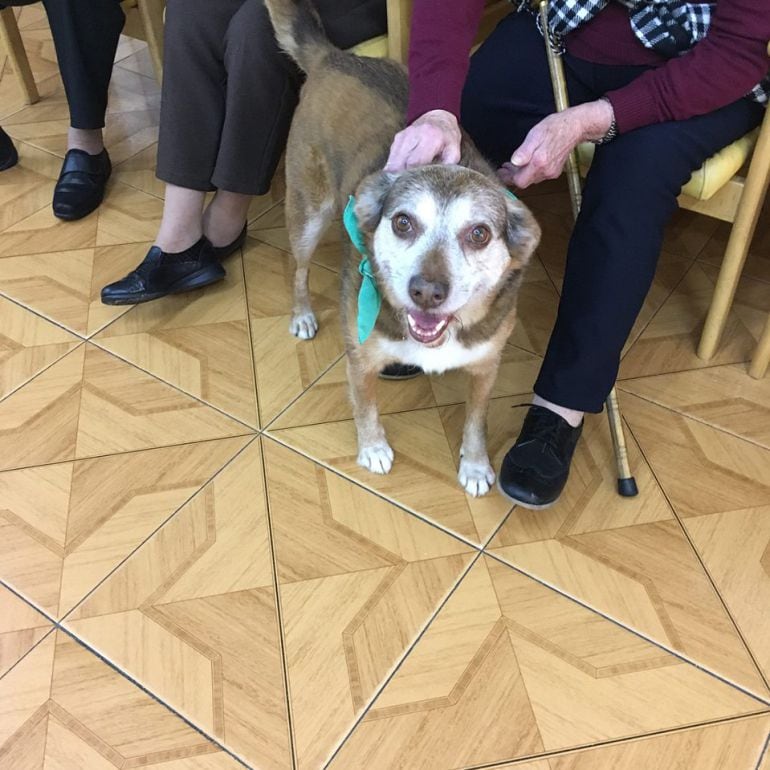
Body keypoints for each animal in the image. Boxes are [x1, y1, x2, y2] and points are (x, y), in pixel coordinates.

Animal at [266, 0, 540, 496]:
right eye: (403, 222)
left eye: (479, 234)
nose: (426, 292)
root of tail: (337, 57)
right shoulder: (361, 359)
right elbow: (365, 405)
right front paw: (373, 448)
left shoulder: (485, 366)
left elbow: (477, 420)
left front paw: (475, 465)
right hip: (309, 211)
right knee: (299, 269)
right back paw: (302, 315)